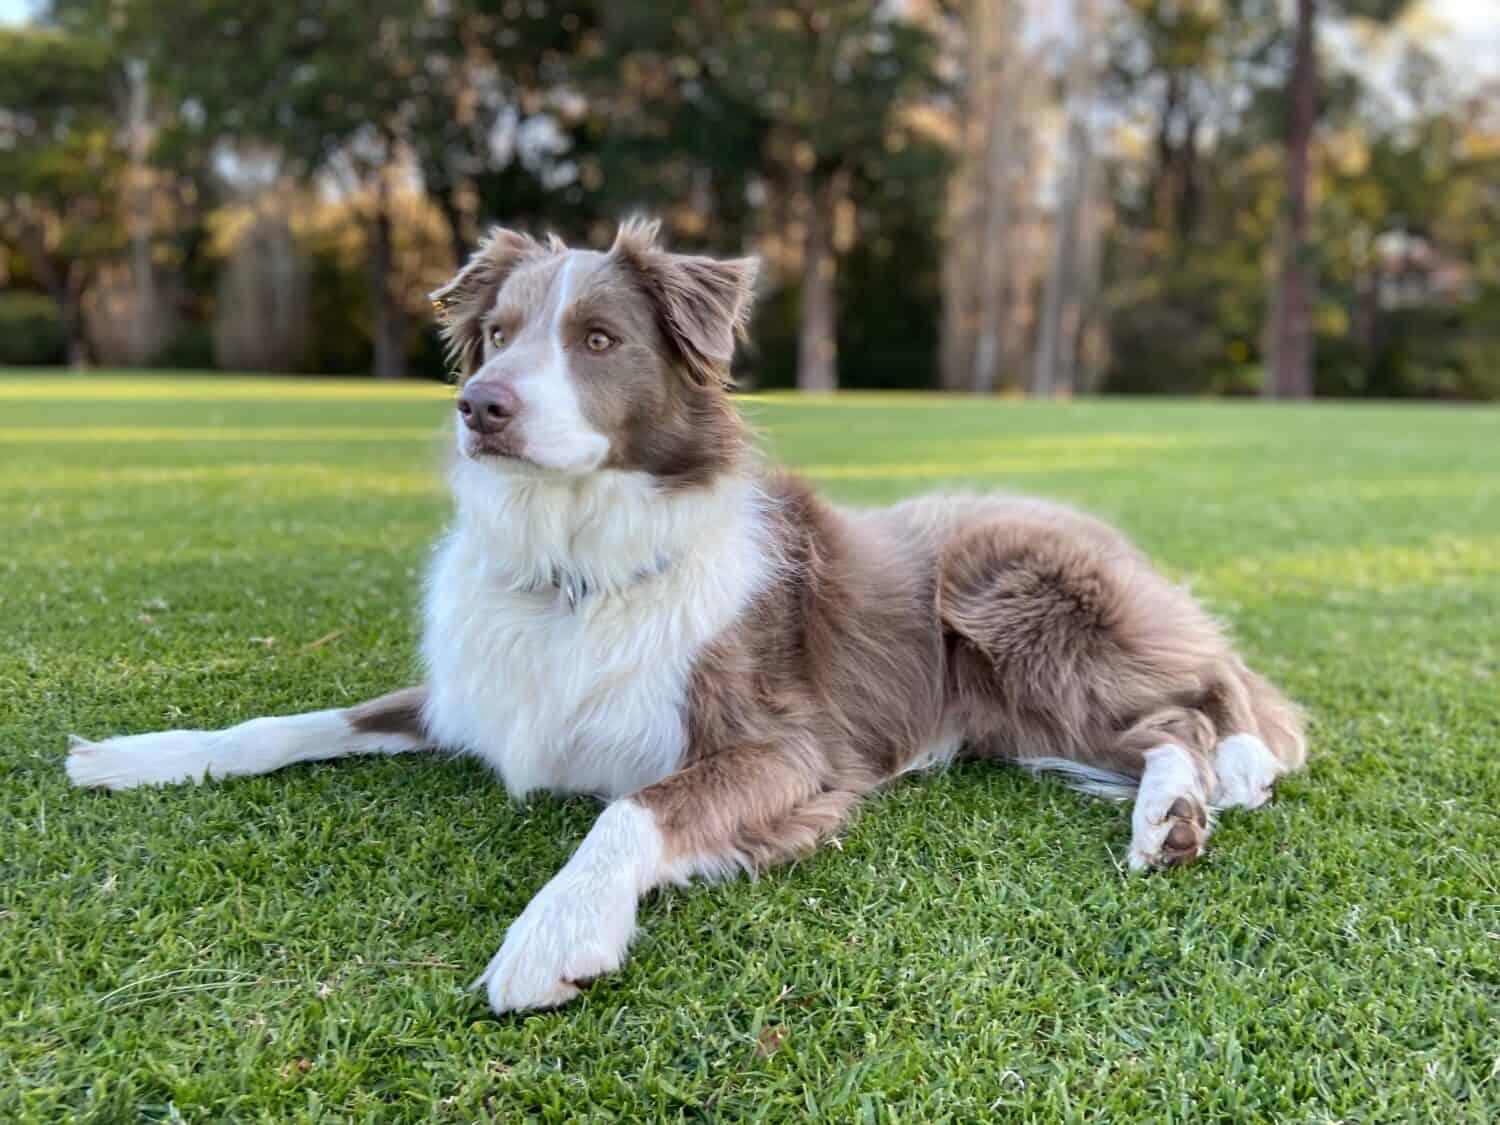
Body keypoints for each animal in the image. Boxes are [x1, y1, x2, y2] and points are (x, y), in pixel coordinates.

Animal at [64, 222, 1302, 1020]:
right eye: (499, 333)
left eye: (599, 340)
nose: (479, 408)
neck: (571, 568)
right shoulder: (468, 694)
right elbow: (291, 721)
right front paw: (141, 754)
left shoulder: (791, 749)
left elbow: (631, 811)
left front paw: (554, 934)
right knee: (1166, 720)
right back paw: (1173, 813)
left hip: (1014, 600)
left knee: (1204, 700)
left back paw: (1196, 794)